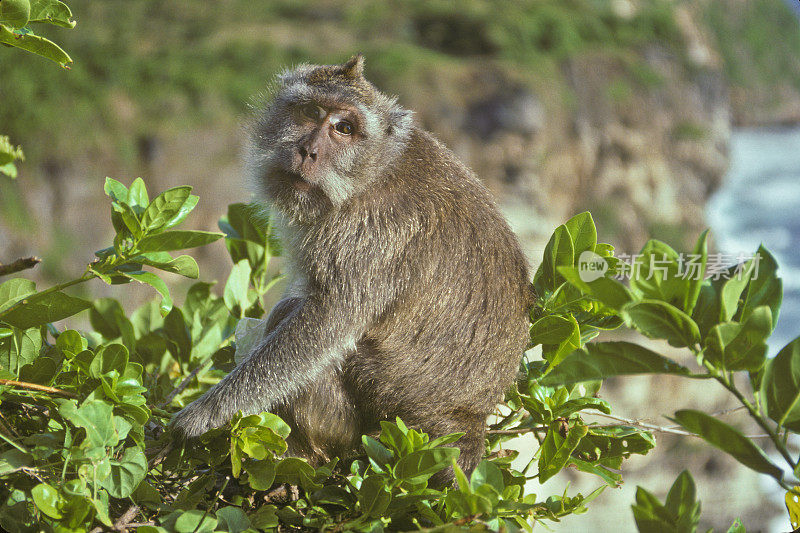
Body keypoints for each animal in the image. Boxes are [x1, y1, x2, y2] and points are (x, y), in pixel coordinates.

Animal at [170, 54, 532, 482]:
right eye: (311, 112)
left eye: (344, 129)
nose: (308, 150)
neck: (372, 173)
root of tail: (468, 425)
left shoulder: (369, 235)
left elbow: (325, 323)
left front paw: (203, 415)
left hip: (382, 420)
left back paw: (302, 456)